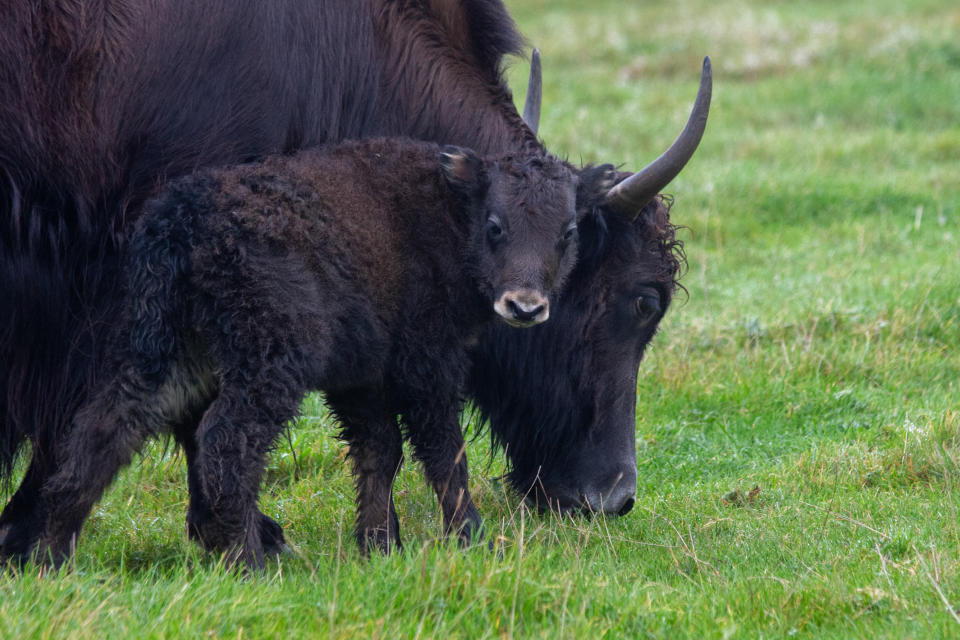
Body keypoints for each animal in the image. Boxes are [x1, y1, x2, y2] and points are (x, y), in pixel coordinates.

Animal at [31, 138, 592, 568]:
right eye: (496, 225)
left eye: (568, 232)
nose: (525, 306)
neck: (449, 210)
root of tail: (180, 217)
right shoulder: (428, 365)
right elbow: (443, 451)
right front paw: (471, 537)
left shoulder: (361, 379)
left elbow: (379, 451)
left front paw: (378, 545)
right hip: (266, 365)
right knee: (225, 441)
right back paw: (248, 561)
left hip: (170, 353)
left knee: (107, 427)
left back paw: (53, 555)